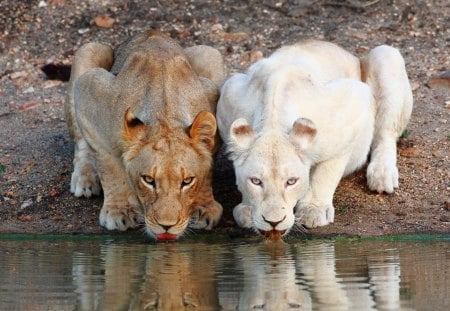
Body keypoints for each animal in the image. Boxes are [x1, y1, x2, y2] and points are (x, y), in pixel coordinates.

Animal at [217, 40, 412, 238]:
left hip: (385, 56)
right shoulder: (228, 94)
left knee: (386, 134)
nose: (273, 222)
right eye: (256, 181)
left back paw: (382, 175)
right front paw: (247, 210)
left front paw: (313, 210)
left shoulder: (354, 101)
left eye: (291, 181)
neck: (273, 121)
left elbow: (326, 172)